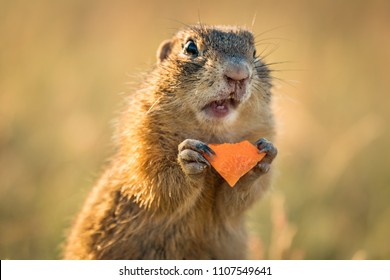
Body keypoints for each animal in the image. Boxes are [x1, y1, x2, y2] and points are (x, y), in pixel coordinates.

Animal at [63, 24, 278, 260]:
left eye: (254, 52)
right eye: (190, 47)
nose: (239, 74)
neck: (212, 135)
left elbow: (232, 204)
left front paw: (261, 159)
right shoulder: (142, 141)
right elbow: (155, 183)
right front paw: (189, 159)